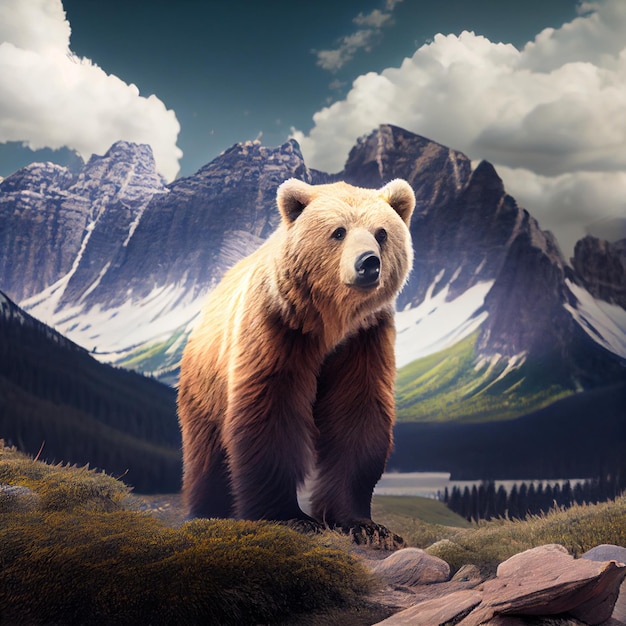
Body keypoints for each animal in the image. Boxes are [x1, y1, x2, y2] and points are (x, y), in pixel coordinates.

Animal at [176, 176, 414, 532]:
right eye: (339, 231)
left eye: (382, 233)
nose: (368, 263)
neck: (330, 323)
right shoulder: (277, 329)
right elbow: (271, 410)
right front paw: (290, 516)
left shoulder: (364, 340)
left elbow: (358, 412)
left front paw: (362, 523)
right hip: (205, 380)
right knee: (207, 448)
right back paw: (206, 508)